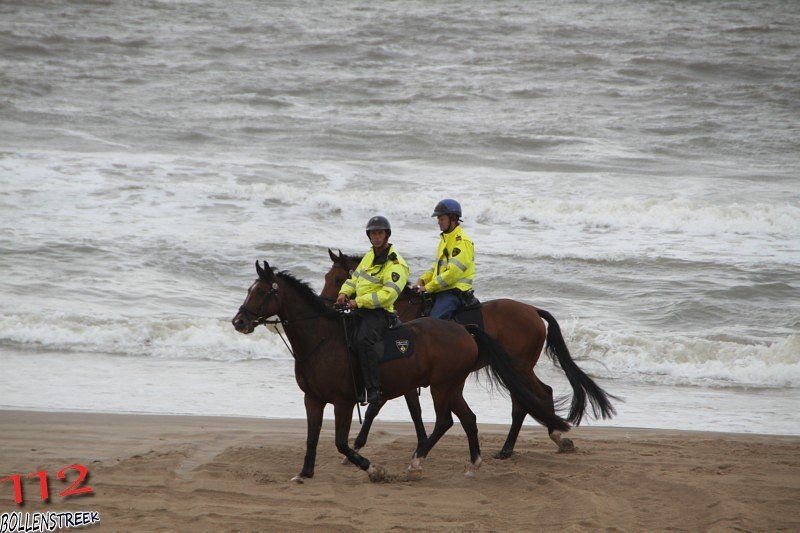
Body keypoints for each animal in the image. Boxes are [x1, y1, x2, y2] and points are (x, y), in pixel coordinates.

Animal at [231, 260, 568, 480]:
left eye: (261, 292)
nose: (239, 321)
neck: (323, 340)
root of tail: (465, 330)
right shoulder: (313, 399)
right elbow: (312, 437)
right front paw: (305, 472)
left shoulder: (344, 401)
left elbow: (344, 440)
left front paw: (373, 467)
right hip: (453, 385)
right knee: (471, 417)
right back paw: (475, 462)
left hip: (449, 384)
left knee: (454, 419)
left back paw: (418, 462)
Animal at [322, 247, 616, 456]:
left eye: (337, 279)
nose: (327, 304)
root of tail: (533, 311)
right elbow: (412, 411)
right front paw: (421, 442)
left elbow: (380, 406)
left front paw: (360, 443)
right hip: (520, 368)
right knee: (539, 394)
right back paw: (549, 437)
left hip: (518, 368)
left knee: (526, 400)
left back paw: (520, 445)